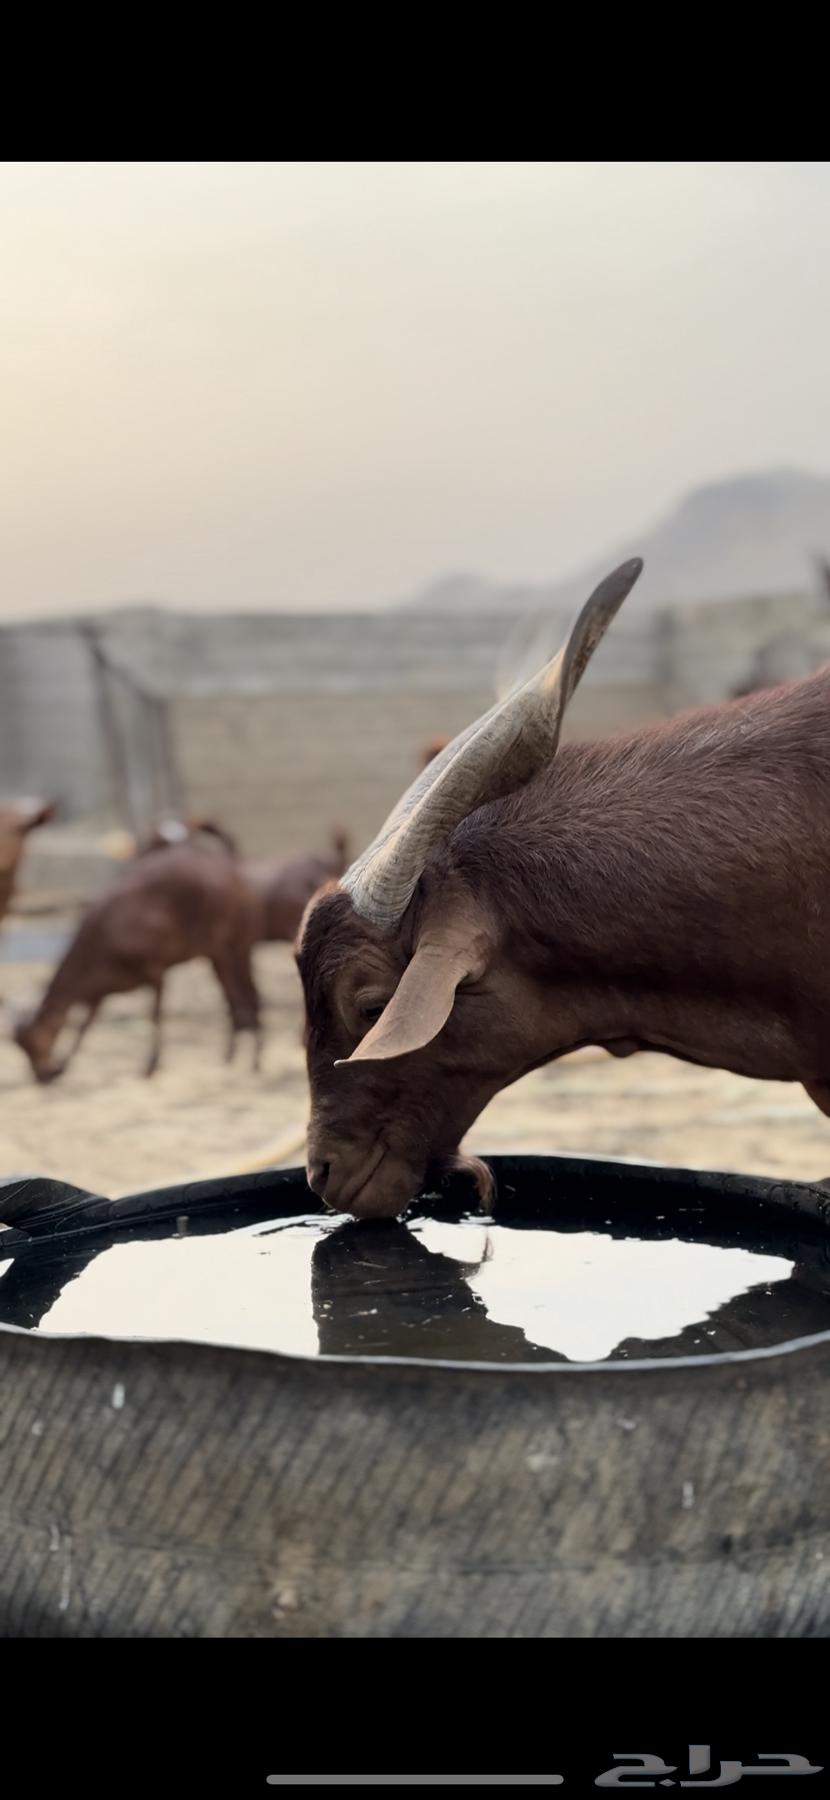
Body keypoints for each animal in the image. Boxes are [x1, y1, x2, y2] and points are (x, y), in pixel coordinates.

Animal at [13, 843, 262, 1082]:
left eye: (33, 1041)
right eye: (22, 1047)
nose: (41, 1076)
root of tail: (236, 878)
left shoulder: (154, 968)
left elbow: (154, 1013)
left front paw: (151, 1065)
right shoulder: (99, 990)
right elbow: (85, 1026)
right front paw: (63, 1066)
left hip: (220, 946)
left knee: (238, 995)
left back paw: (247, 1058)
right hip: (236, 944)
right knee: (245, 994)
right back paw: (244, 1057)